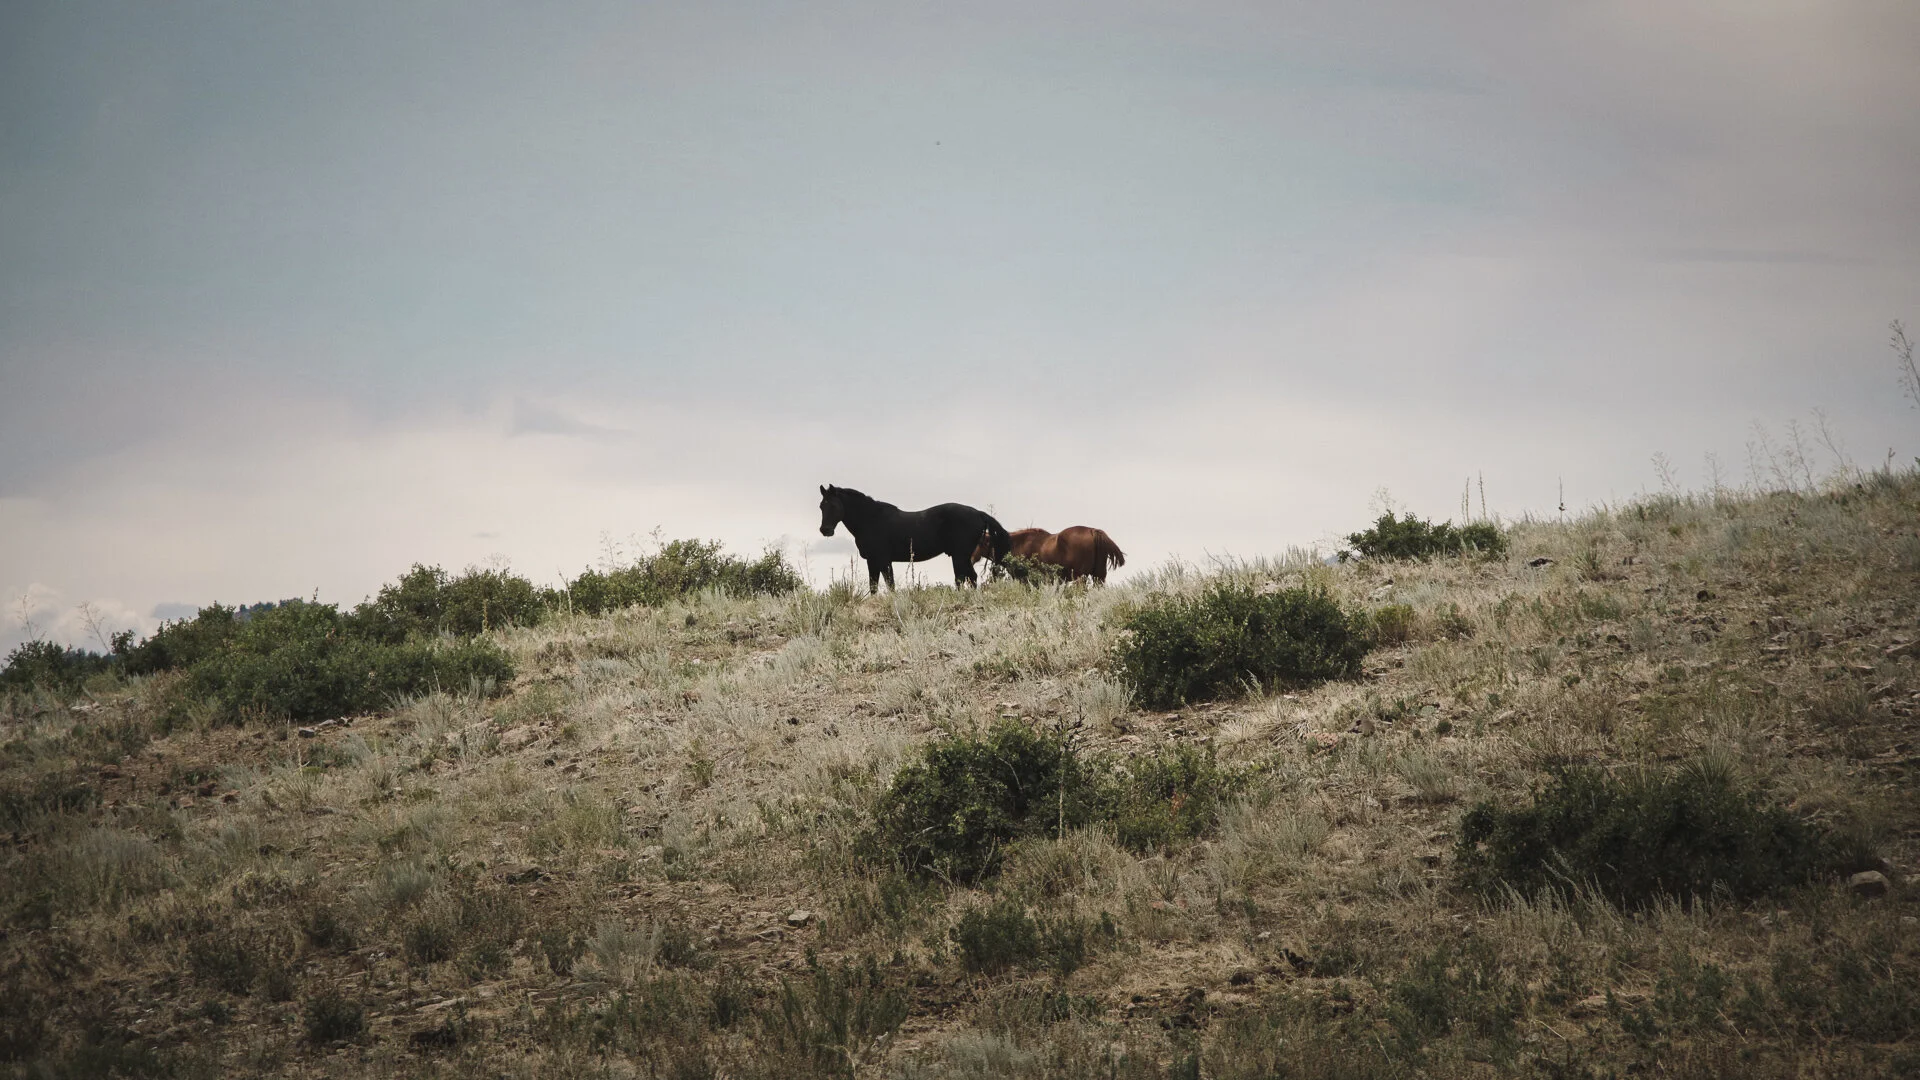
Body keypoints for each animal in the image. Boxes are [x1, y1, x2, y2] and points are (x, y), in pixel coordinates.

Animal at [818, 485, 1012, 594]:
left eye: (833, 505)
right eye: (821, 506)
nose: (825, 530)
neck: (871, 520)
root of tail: (978, 513)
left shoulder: (883, 560)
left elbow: (890, 585)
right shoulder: (872, 561)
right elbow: (874, 587)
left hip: (960, 556)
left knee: (964, 578)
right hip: (962, 557)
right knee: (969, 578)